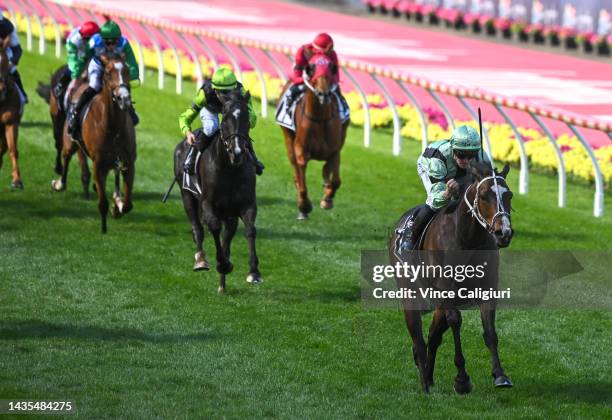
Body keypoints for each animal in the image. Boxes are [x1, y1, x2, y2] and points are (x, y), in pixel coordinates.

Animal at [50, 52, 136, 233]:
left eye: (127, 70)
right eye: (108, 73)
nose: (124, 99)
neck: (112, 125)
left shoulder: (128, 162)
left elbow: (128, 204)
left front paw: (117, 205)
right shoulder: (98, 163)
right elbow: (102, 203)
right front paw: (104, 226)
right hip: (69, 139)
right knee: (66, 156)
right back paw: (59, 183)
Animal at [177, 91, 262, 292]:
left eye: (247, 120)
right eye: (225, 119)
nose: (237, 152)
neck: (229, 168)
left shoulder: (246, 204)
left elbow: (250, 230)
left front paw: (254, 272)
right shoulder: (208, 203)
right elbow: (213, 227)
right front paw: (222, 264)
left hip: (229, 213)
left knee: (226, 237)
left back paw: (223, 283)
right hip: (187, 196)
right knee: (198, 229)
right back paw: (201, 260)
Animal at [280, 52, 346, 220]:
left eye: (331, 68)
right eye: (311, 69)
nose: (324, 94)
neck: (320, 118)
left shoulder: (335, 150)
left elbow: (336, 180)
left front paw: (327, 198)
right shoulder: (301, 151)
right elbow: (301, 178)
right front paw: (304, 206)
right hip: (288, 139)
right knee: (295, 170)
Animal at [390, 162, 512, 394]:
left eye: (508, 195)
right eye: (484, 195)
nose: (504, 232)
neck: (467, 238)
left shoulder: (487, 289)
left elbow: (490, 330)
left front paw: (500, 375)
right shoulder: (445, 290)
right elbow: (456, 321)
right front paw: (462, 378)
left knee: (432, 336)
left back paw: (428, 377)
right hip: (410, 294)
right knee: (418, 337)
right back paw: (424, 383)